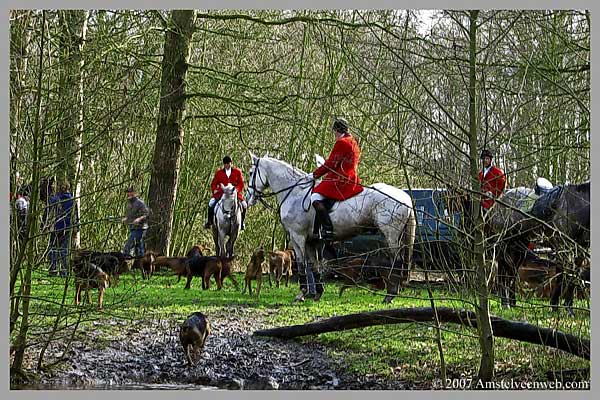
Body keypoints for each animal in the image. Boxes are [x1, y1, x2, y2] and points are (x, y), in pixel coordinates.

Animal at [246, 154, 414, 304]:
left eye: (250, 172)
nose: (248, 198)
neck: (295, 193)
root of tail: (405, 197)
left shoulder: (297, 237)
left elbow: (302, 265)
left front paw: (301, 294)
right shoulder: (312, 241)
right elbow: (315, 265)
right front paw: (318, 293)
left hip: (391, 234)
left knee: (396, 260)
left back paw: (390, 295)